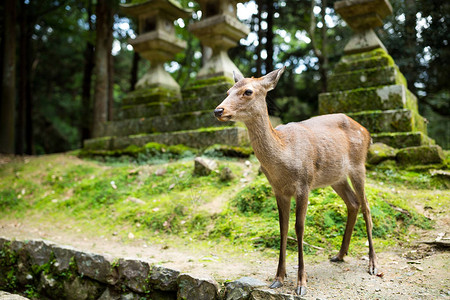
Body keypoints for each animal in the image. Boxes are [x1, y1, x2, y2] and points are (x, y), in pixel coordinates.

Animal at [214, 66, 380, 296]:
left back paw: (373, 264)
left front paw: (301, 283)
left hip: (358, 165)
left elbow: (299, 227)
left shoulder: (304, 184)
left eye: (248, 91)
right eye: (228, 90)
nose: (218, 110)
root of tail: (367, 132)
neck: (284, 156)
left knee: (367, 207)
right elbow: (282, 227)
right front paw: (278, 278)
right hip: (336, 177)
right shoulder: (278, 190)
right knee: (353, 203)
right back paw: (339, 254)